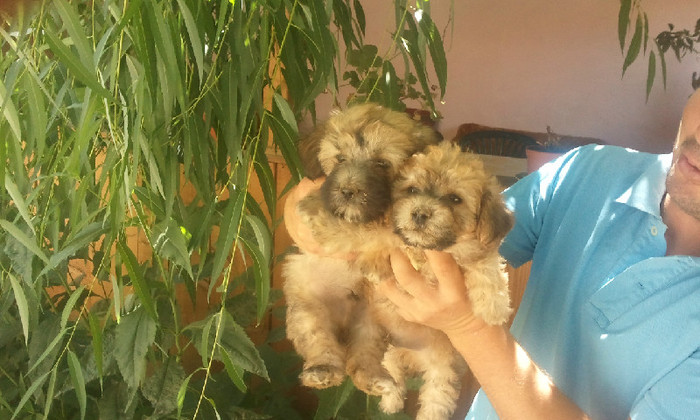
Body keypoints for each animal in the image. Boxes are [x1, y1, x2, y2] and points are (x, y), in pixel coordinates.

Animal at [284, 101, 438, 394]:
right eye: (340, 159)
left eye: (382, 163)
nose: (347, 191)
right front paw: (315, 206)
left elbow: (384, 232)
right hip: (307, 306)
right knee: (320, 340)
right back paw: (322, 370)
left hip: (374, 319)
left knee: (364, 355)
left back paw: (375, 380)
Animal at [372, 142, 516, 420]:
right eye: (412, 190)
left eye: (455, 199)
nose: (419, 213)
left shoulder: (478, 251)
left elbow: (484, 264)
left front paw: (493, 307)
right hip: (388, 351)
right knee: (391, 372)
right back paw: (390, 400)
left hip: (443, 369)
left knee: (436, 399)